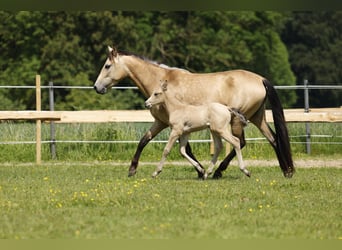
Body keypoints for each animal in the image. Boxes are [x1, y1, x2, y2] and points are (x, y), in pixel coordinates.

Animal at [93, 46, 294, 178]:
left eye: (107, 66)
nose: (96, 87)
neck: (161, 82)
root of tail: (260, 79)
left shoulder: (174, 125)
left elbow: (183, 148)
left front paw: (200, 170)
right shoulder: (162, 123)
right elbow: (144, 140)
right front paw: (132, 170)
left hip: (237, 122)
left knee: (241, 142)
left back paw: (219, 171)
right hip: (256, 117)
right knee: (273, 139)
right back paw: (287, 171)